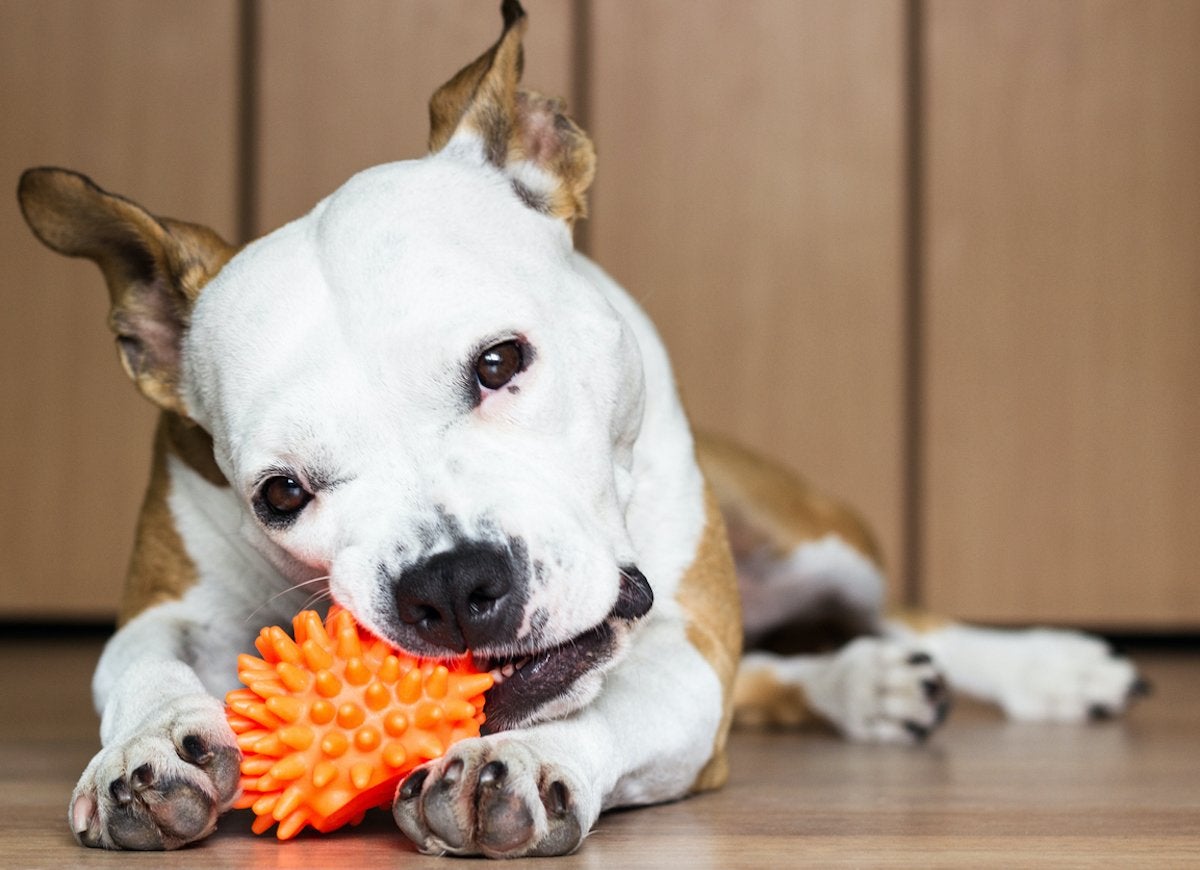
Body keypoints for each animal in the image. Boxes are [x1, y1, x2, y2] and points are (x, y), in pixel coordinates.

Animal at [16, 0, 1142, 854]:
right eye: (281, 493)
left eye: (500, 363)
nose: (451, 584)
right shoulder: (167, 598)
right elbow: (137, 661)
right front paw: (146, 750)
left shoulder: (685, 652)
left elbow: (621, 703)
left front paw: (525, 758)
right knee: (782, 673)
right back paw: (863, 687)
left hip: (821, 542)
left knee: (903, 615)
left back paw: (1048, 668)